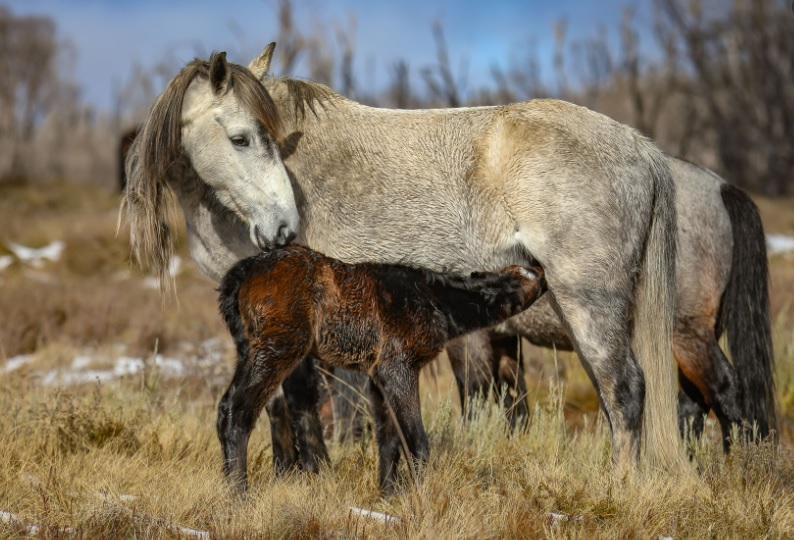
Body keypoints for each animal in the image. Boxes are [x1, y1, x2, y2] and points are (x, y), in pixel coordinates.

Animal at [122, 47, 680, 476]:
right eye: (240, 138)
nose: (284, 228)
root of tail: (641, 148)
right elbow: (277, 400)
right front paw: (288, 473)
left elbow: (298, 396)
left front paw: (312, 473)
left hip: (588, 301)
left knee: (624, 389)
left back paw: (620, 486)